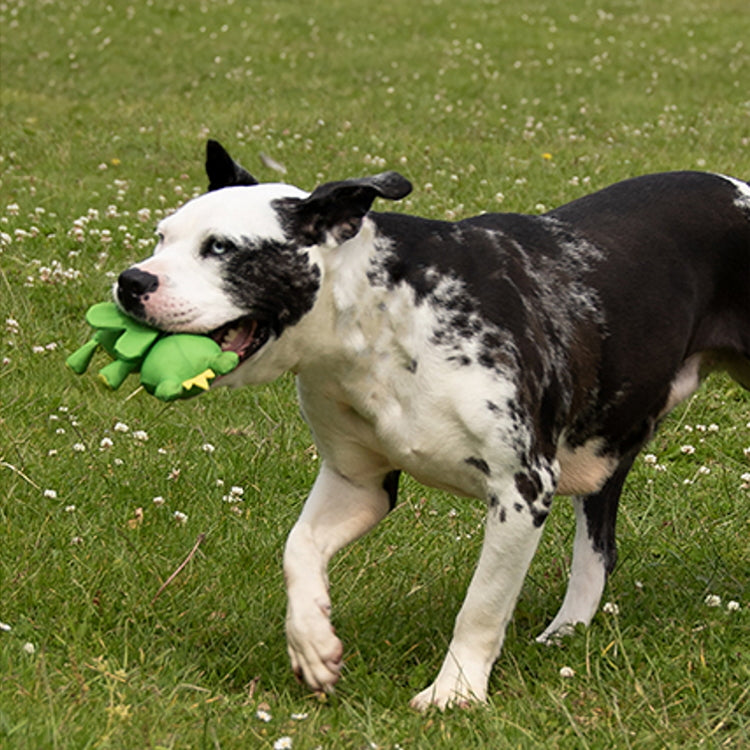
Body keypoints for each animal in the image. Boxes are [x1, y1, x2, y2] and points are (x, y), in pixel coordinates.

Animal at [114, 141, 748, 712]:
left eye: (220, 247)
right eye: (161, 237)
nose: (131, 281)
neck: (380, 318)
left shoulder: (520, 491)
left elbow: (482, 605)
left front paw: (457, 690)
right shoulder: (355, 484)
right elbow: (299, 547)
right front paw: (311, 640)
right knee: (597, 551)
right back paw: (566, 632)